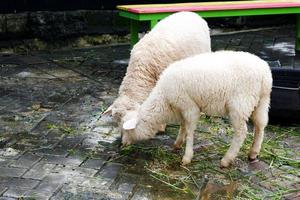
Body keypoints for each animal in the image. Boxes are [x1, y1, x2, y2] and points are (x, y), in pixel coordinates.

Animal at [121, 50, 272, 168]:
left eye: (127, 130)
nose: (122, 143)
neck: (164, 100)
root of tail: (265, 75)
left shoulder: (189, 106)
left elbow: (189, 130)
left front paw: (187, 157)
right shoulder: (182, 107)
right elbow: (183, 126)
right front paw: (177, 144)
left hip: (239, 104)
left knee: (241, 132)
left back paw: (226, 159)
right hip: (261, 102)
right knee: (260, 126)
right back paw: (253, 153)